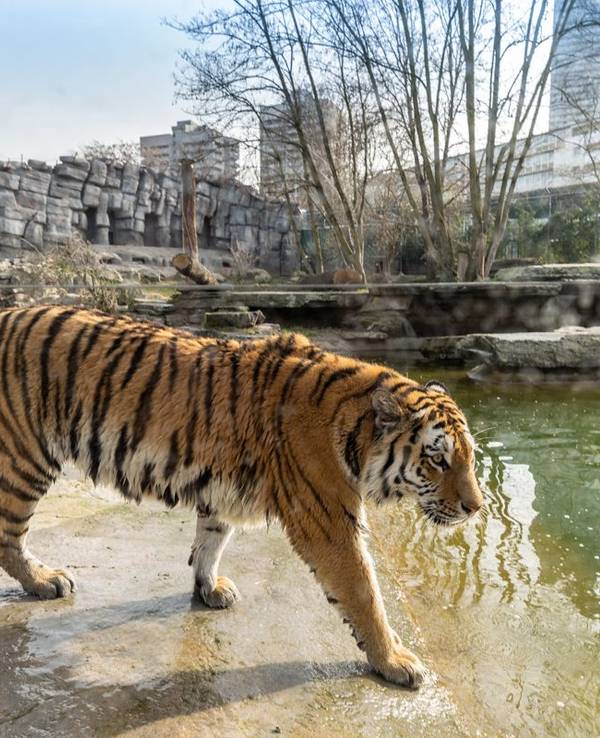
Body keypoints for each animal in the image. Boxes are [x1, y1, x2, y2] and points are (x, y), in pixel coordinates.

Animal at [0, 305, 483, 688]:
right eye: (438, 460)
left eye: (470, 456)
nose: (476, 508)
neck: (354, 432)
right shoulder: (327, 519)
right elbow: (364, 593)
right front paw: (395, 661)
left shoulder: (220, 489)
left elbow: (211, 541)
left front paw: (208, 588)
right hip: (25, 458)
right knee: (9, 538)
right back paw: (44, 581)